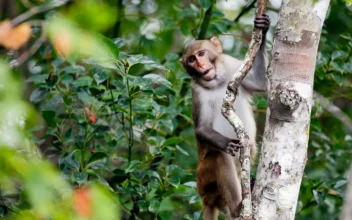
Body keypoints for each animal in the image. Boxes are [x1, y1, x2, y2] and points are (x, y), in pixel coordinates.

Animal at [180, 14, 270, 219]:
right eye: (191, 60)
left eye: (201, 54)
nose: (200, 65)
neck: (217, 82)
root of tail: (205, 198)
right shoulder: (196, 91)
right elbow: (202, 128)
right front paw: (224, 142)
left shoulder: (232, 65)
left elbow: (261, 82)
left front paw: (263, 29)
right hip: (204, 179)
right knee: (219, 157)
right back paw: (237, 207)